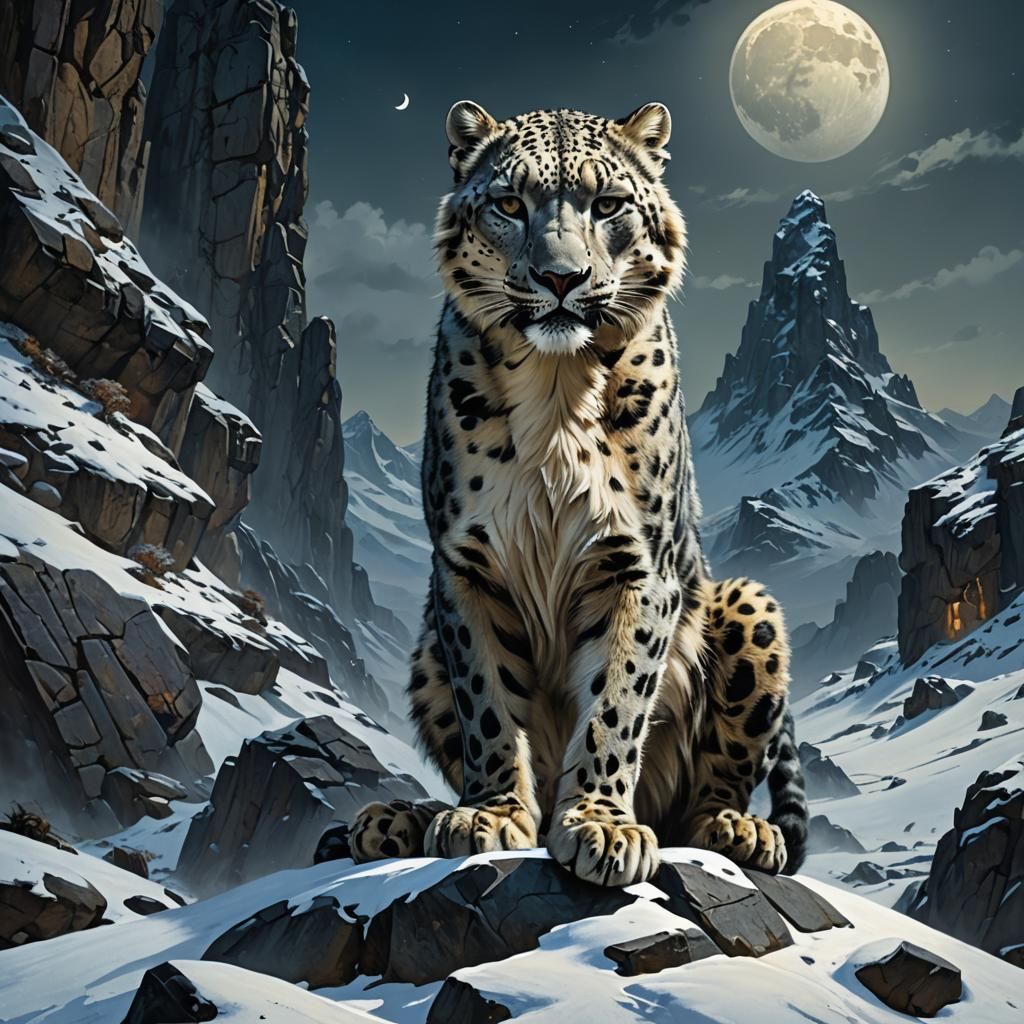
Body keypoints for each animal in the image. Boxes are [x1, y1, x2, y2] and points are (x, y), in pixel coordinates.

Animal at [349, 100, 808, 887]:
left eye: (609, 204)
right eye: (509, 204)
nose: (560, 277)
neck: (557, 391)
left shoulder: (636, 564)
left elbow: (616, 701)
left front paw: (599, 825)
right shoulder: (467, 565)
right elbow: (487, 703)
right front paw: (491, 815)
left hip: (749, 607)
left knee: (712, 782)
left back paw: (738, 828)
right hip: (425, 652)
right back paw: (393, 820)